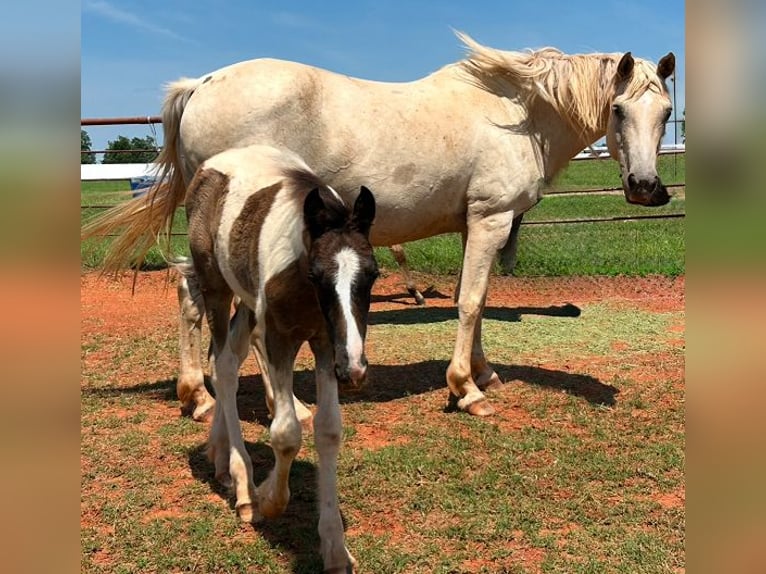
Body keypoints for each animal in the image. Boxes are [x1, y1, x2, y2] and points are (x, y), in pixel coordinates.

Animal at [84, 31, 675, 417]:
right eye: (618, 110)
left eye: (666, 112)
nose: (647, 187)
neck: (517, 116)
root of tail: (202, 83)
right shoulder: (491, 219)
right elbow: (470, 302)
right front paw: (466, 389)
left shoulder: (476, 225)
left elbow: (475, 300)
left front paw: (483, 372)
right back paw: (286, 408)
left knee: (190, 296)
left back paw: (200, 397)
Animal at [172, 144, 378, 572]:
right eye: (317, 275)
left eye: (372, 274)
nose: (355, 370)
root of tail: (211, 165)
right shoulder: (280, 337)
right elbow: (285, 434)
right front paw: (267, 500)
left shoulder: (326, 341)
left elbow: (328, 430)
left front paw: (335, 546)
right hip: (218, 289)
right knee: (225, 367)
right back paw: (242, 483)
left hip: (249, 304)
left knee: (229, 356)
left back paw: (219, 455)